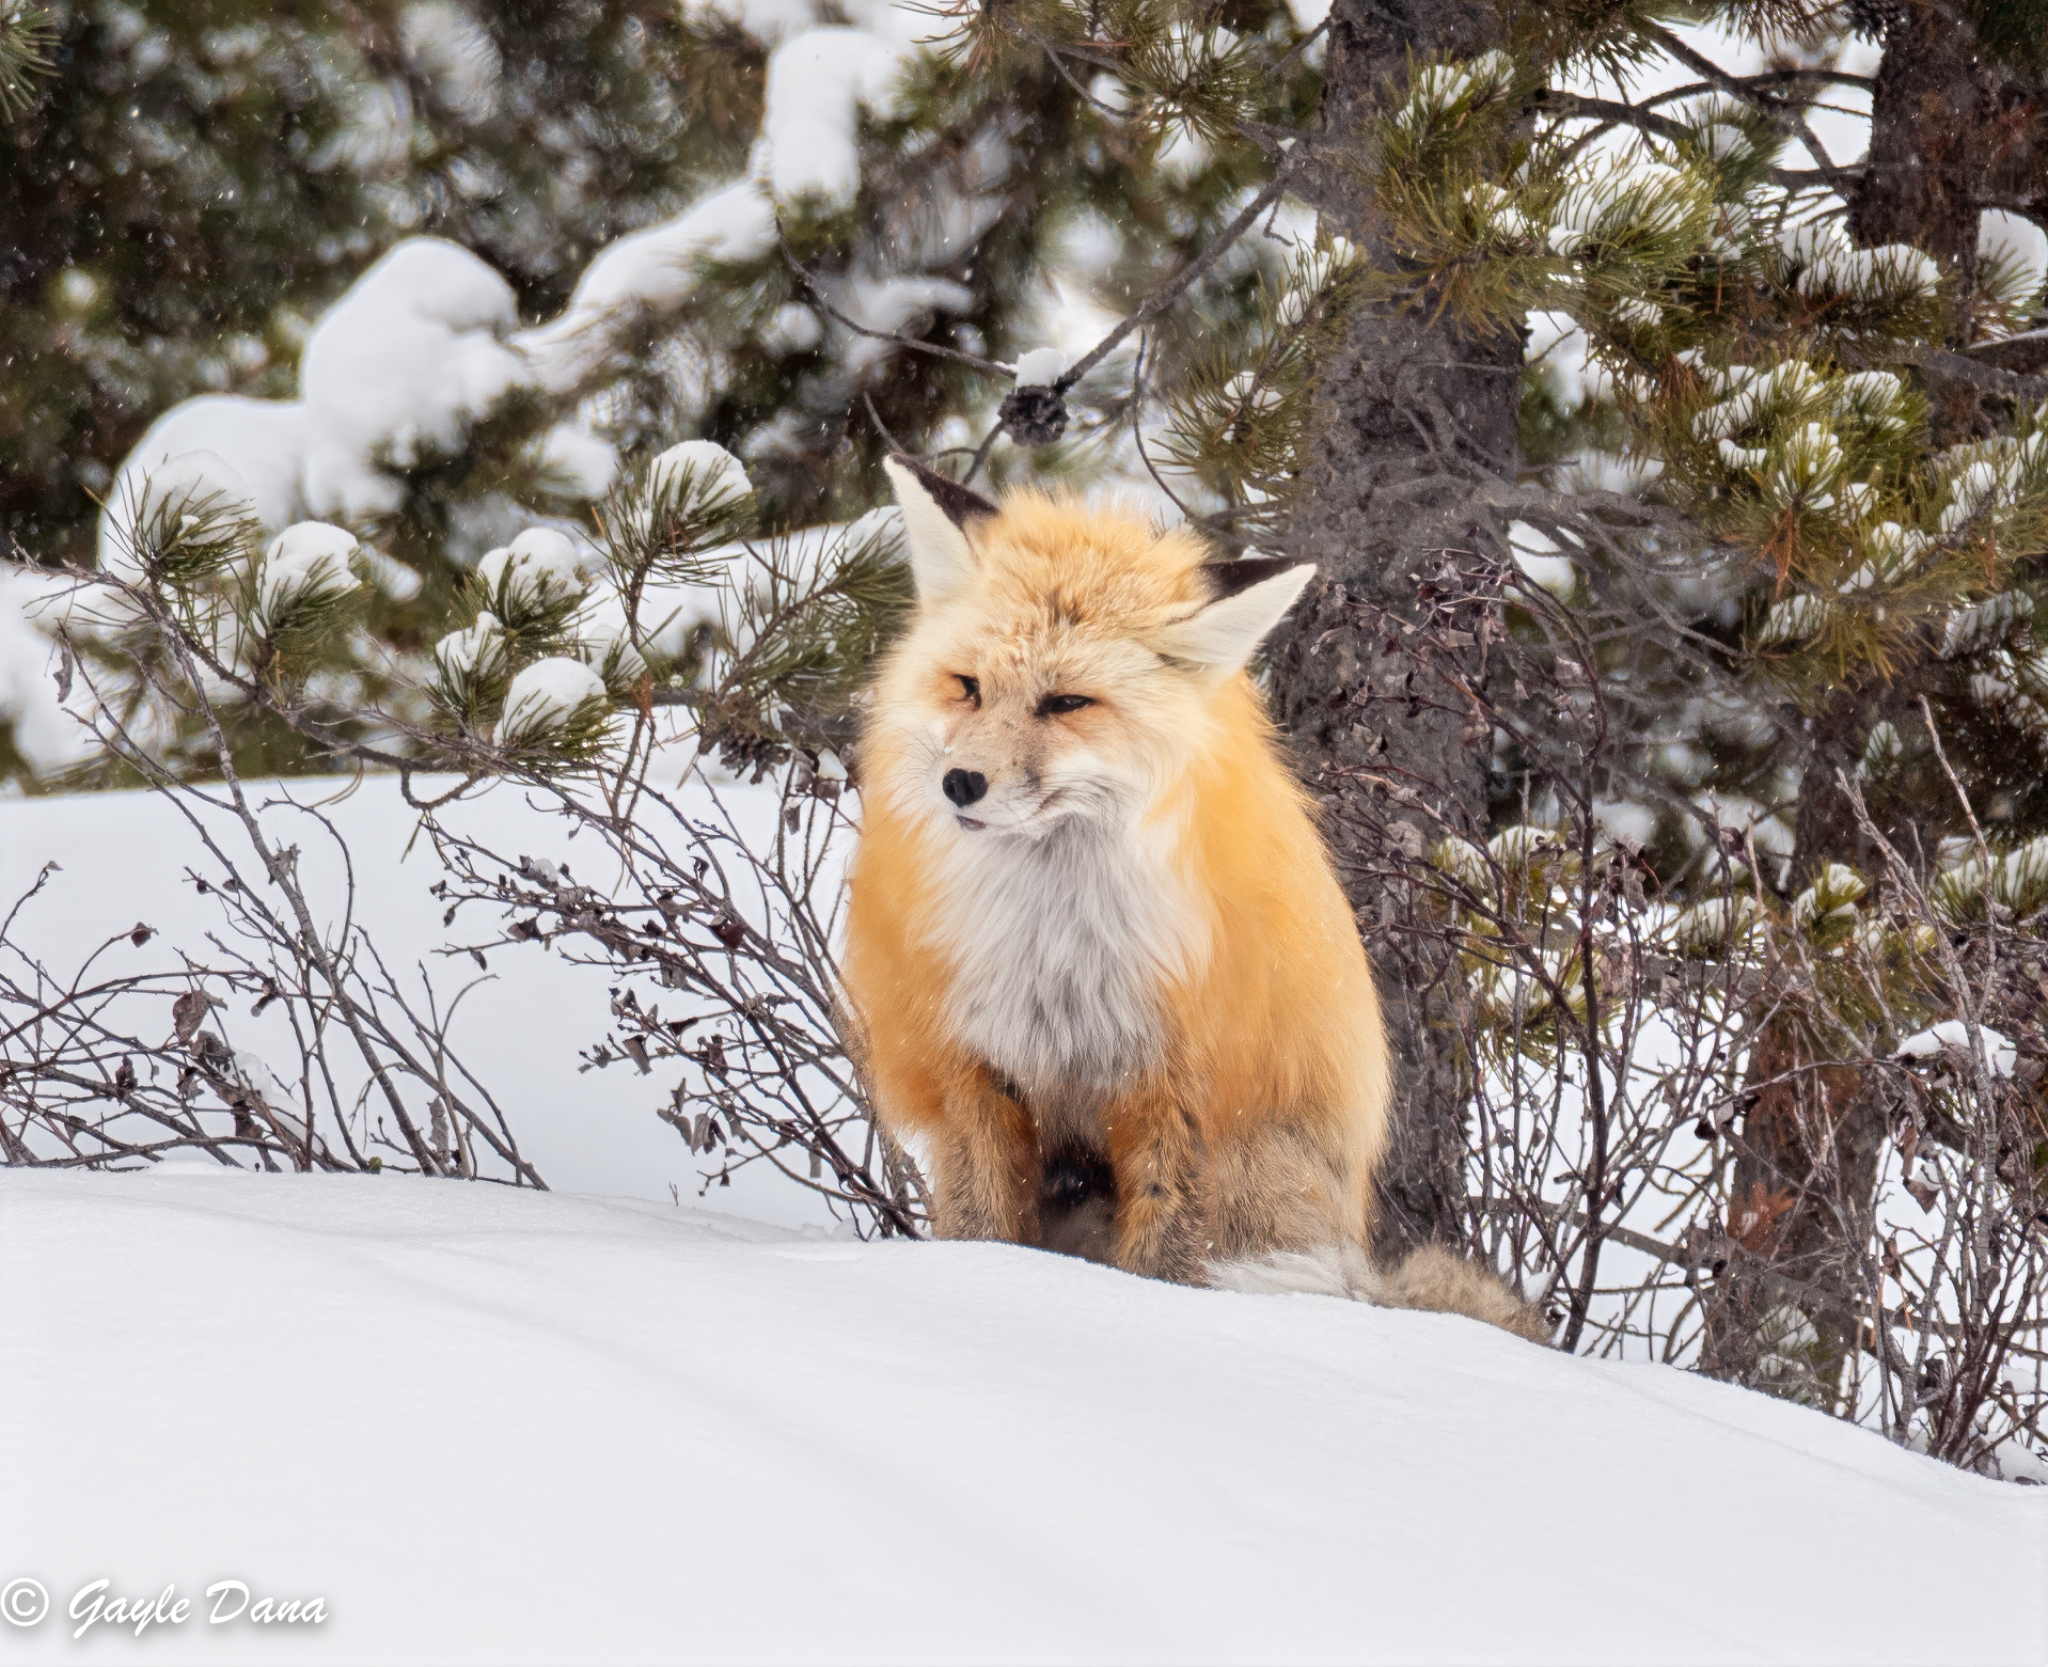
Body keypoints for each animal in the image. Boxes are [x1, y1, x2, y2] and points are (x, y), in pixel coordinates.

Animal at [839, 454, 1549, 1343]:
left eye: (1066, 702)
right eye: (966, 686)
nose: (960, 782)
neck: (1053, 948)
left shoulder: (1178, 1095)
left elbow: (1167, 1261)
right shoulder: (978, 1065)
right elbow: (981, 1226)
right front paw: (981, 1282)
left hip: (1259, 1170)